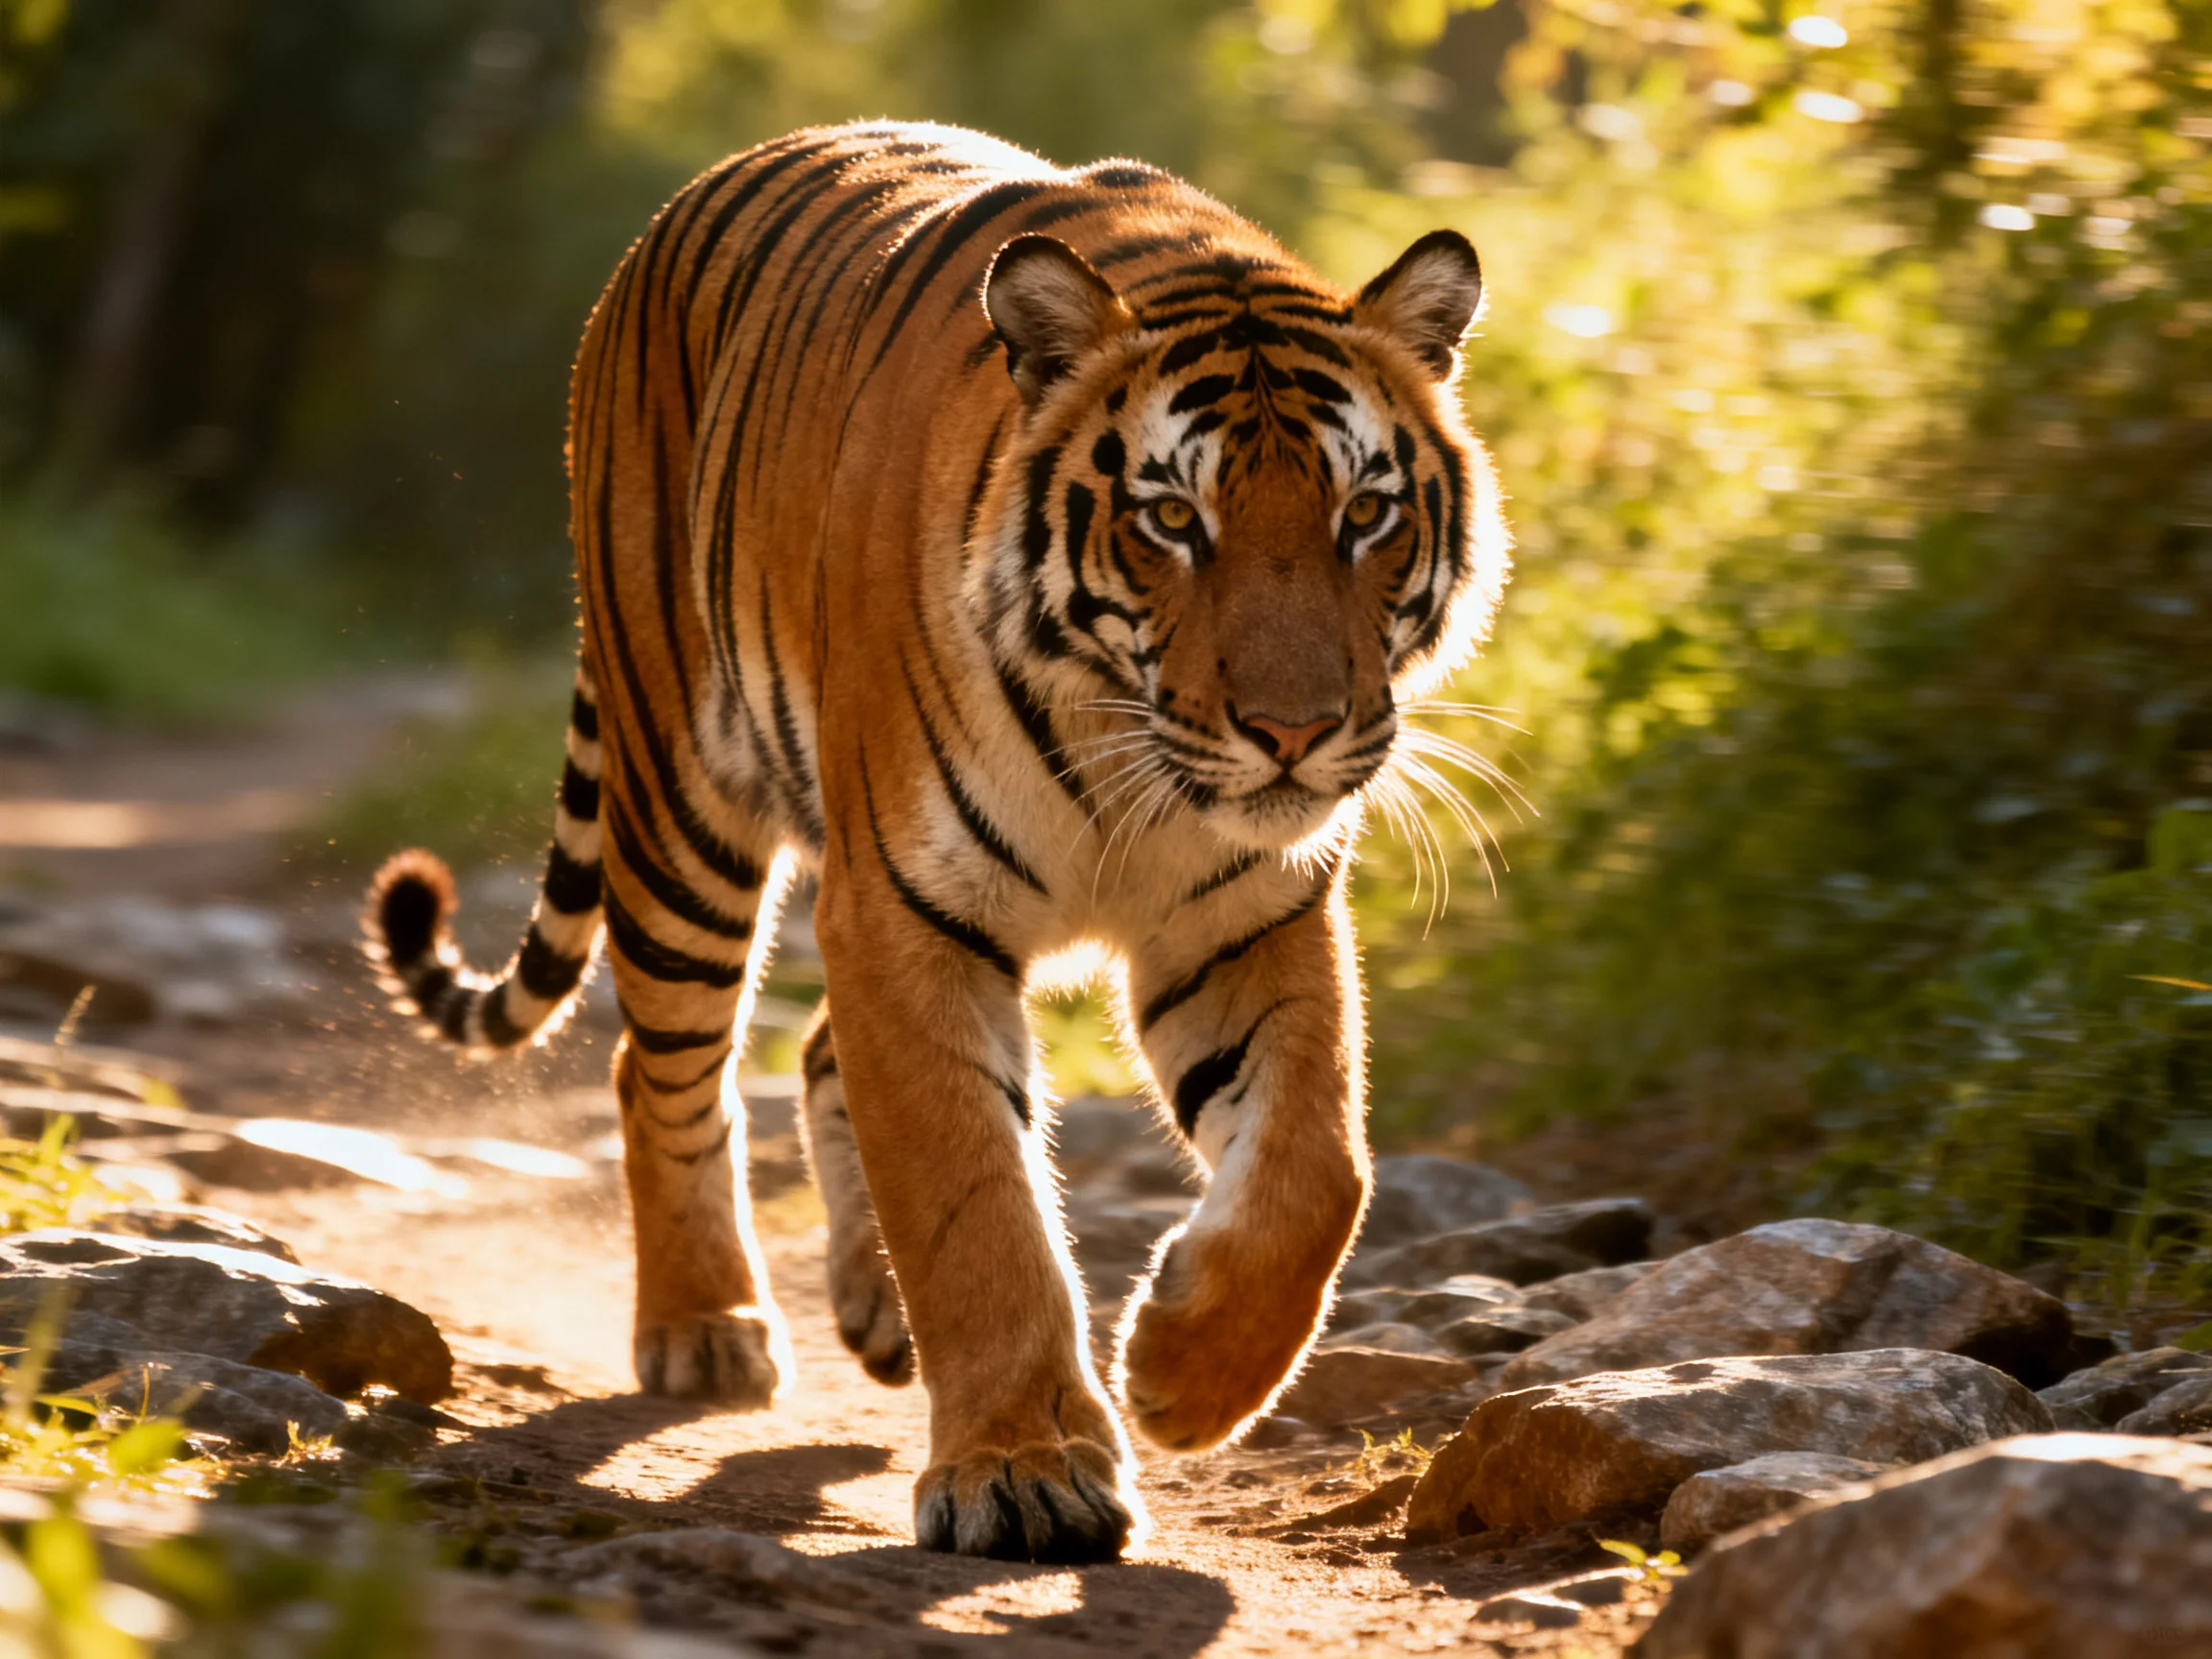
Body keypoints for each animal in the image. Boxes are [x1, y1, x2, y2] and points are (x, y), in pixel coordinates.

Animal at [364, 119, 1508, 1564]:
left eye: (1366, 515)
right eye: (1171, 520)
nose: (1292, 733)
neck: (1124, 758)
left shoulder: (1243, 912)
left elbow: (1317, 1170)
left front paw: (1183, 1376)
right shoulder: (907, 909)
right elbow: (977, 1206)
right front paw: (1023, 1475)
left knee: (810, 1050)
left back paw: (873, 1313)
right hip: (681, 803)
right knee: (662, 1066)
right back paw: (705, 1329)